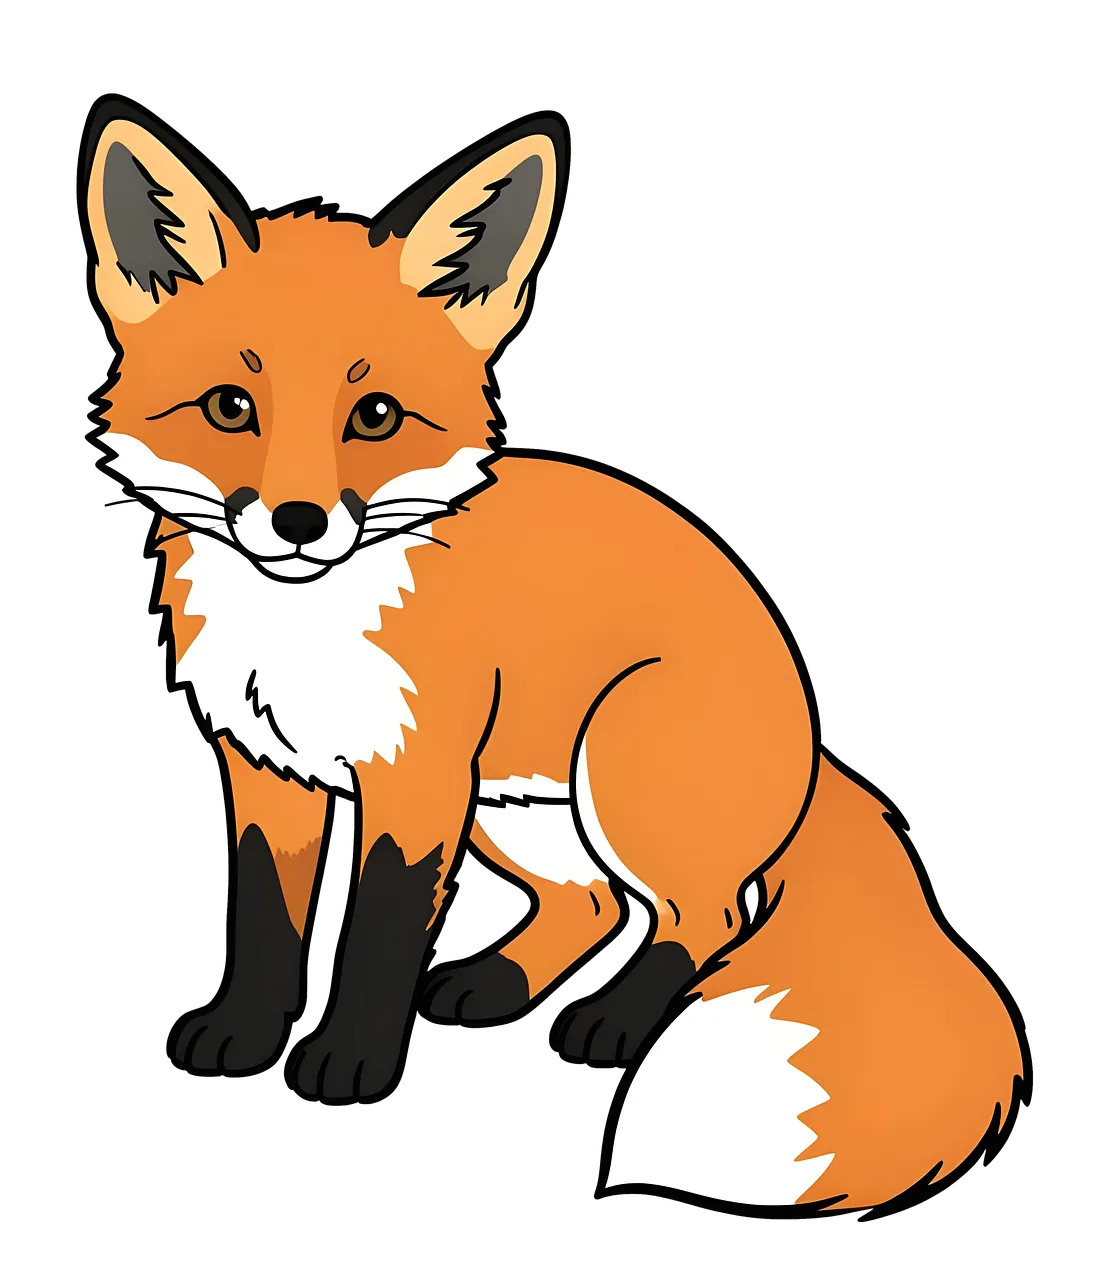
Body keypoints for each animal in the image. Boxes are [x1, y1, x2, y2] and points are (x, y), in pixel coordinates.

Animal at [77, 95, 1031, 1217]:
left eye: (375, 416)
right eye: (231, 407)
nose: (300, 524)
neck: (304, 635)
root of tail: (806, 739)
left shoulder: (416, 776)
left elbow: (381, 934)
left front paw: (350, 1061)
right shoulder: (266, 768)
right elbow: (269, 917)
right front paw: (243, 1033)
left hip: (611, 772)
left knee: (707, 914)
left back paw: (613, 1020)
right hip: (516, 806)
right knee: (591, 902)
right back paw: (496, 984)